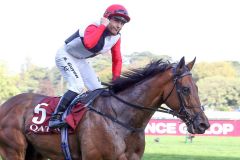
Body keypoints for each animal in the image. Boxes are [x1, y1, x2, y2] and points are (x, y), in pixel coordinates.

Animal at [0, 57, 210, 159]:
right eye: (185, 89)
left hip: (36, 153)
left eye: (197, 87)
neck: (121, 118)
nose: (203, 124)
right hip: (13, 150)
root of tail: (6, 105)